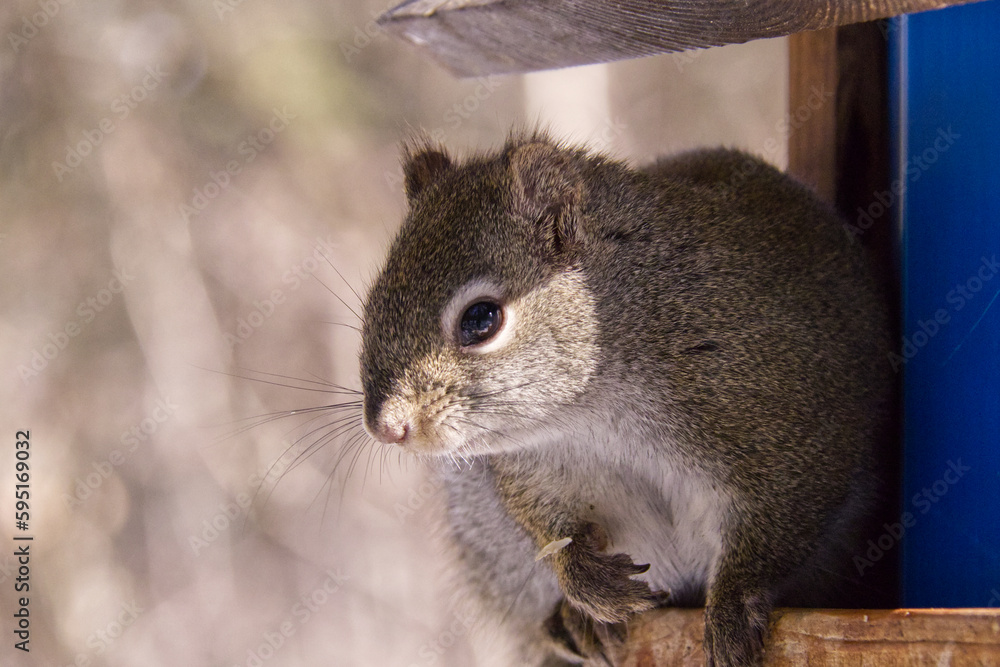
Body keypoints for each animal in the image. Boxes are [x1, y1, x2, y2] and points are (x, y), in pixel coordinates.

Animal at [359, 131, 892, 666]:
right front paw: (586, 581)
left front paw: (733, 608)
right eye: (373, 304)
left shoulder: (788, 426)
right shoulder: (538, 470)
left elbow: (781, 516)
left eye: (481, 318)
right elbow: (550, 527)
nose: (386, 427)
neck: (597, 417)